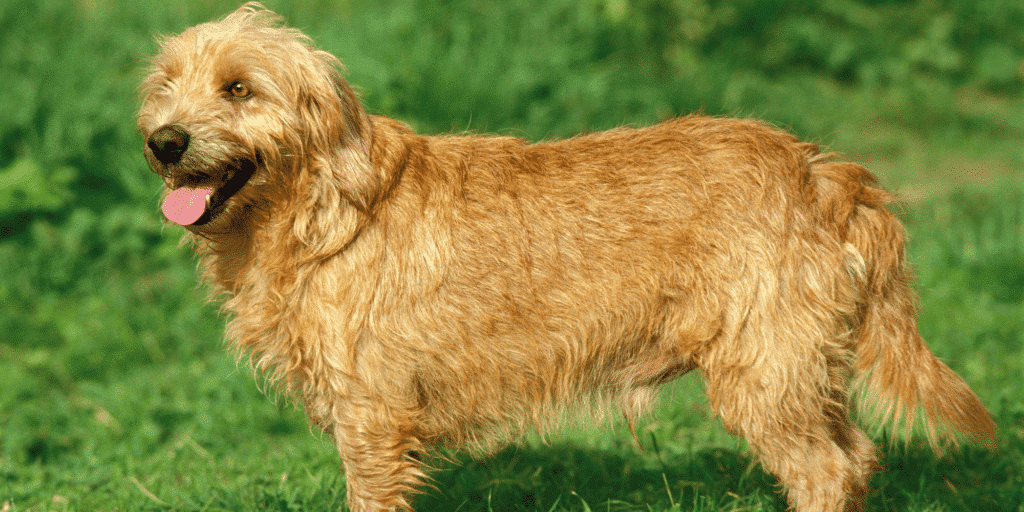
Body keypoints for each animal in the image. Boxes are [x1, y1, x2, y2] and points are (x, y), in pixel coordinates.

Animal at [138, 4, 999, 512]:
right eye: (165, 86)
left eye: (240, 88)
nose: (164, 141)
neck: (321, 210)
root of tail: (822, 171)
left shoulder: (371, 419)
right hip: (804, 372)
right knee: (856, 458)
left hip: (765, 377)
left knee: (826, 471)